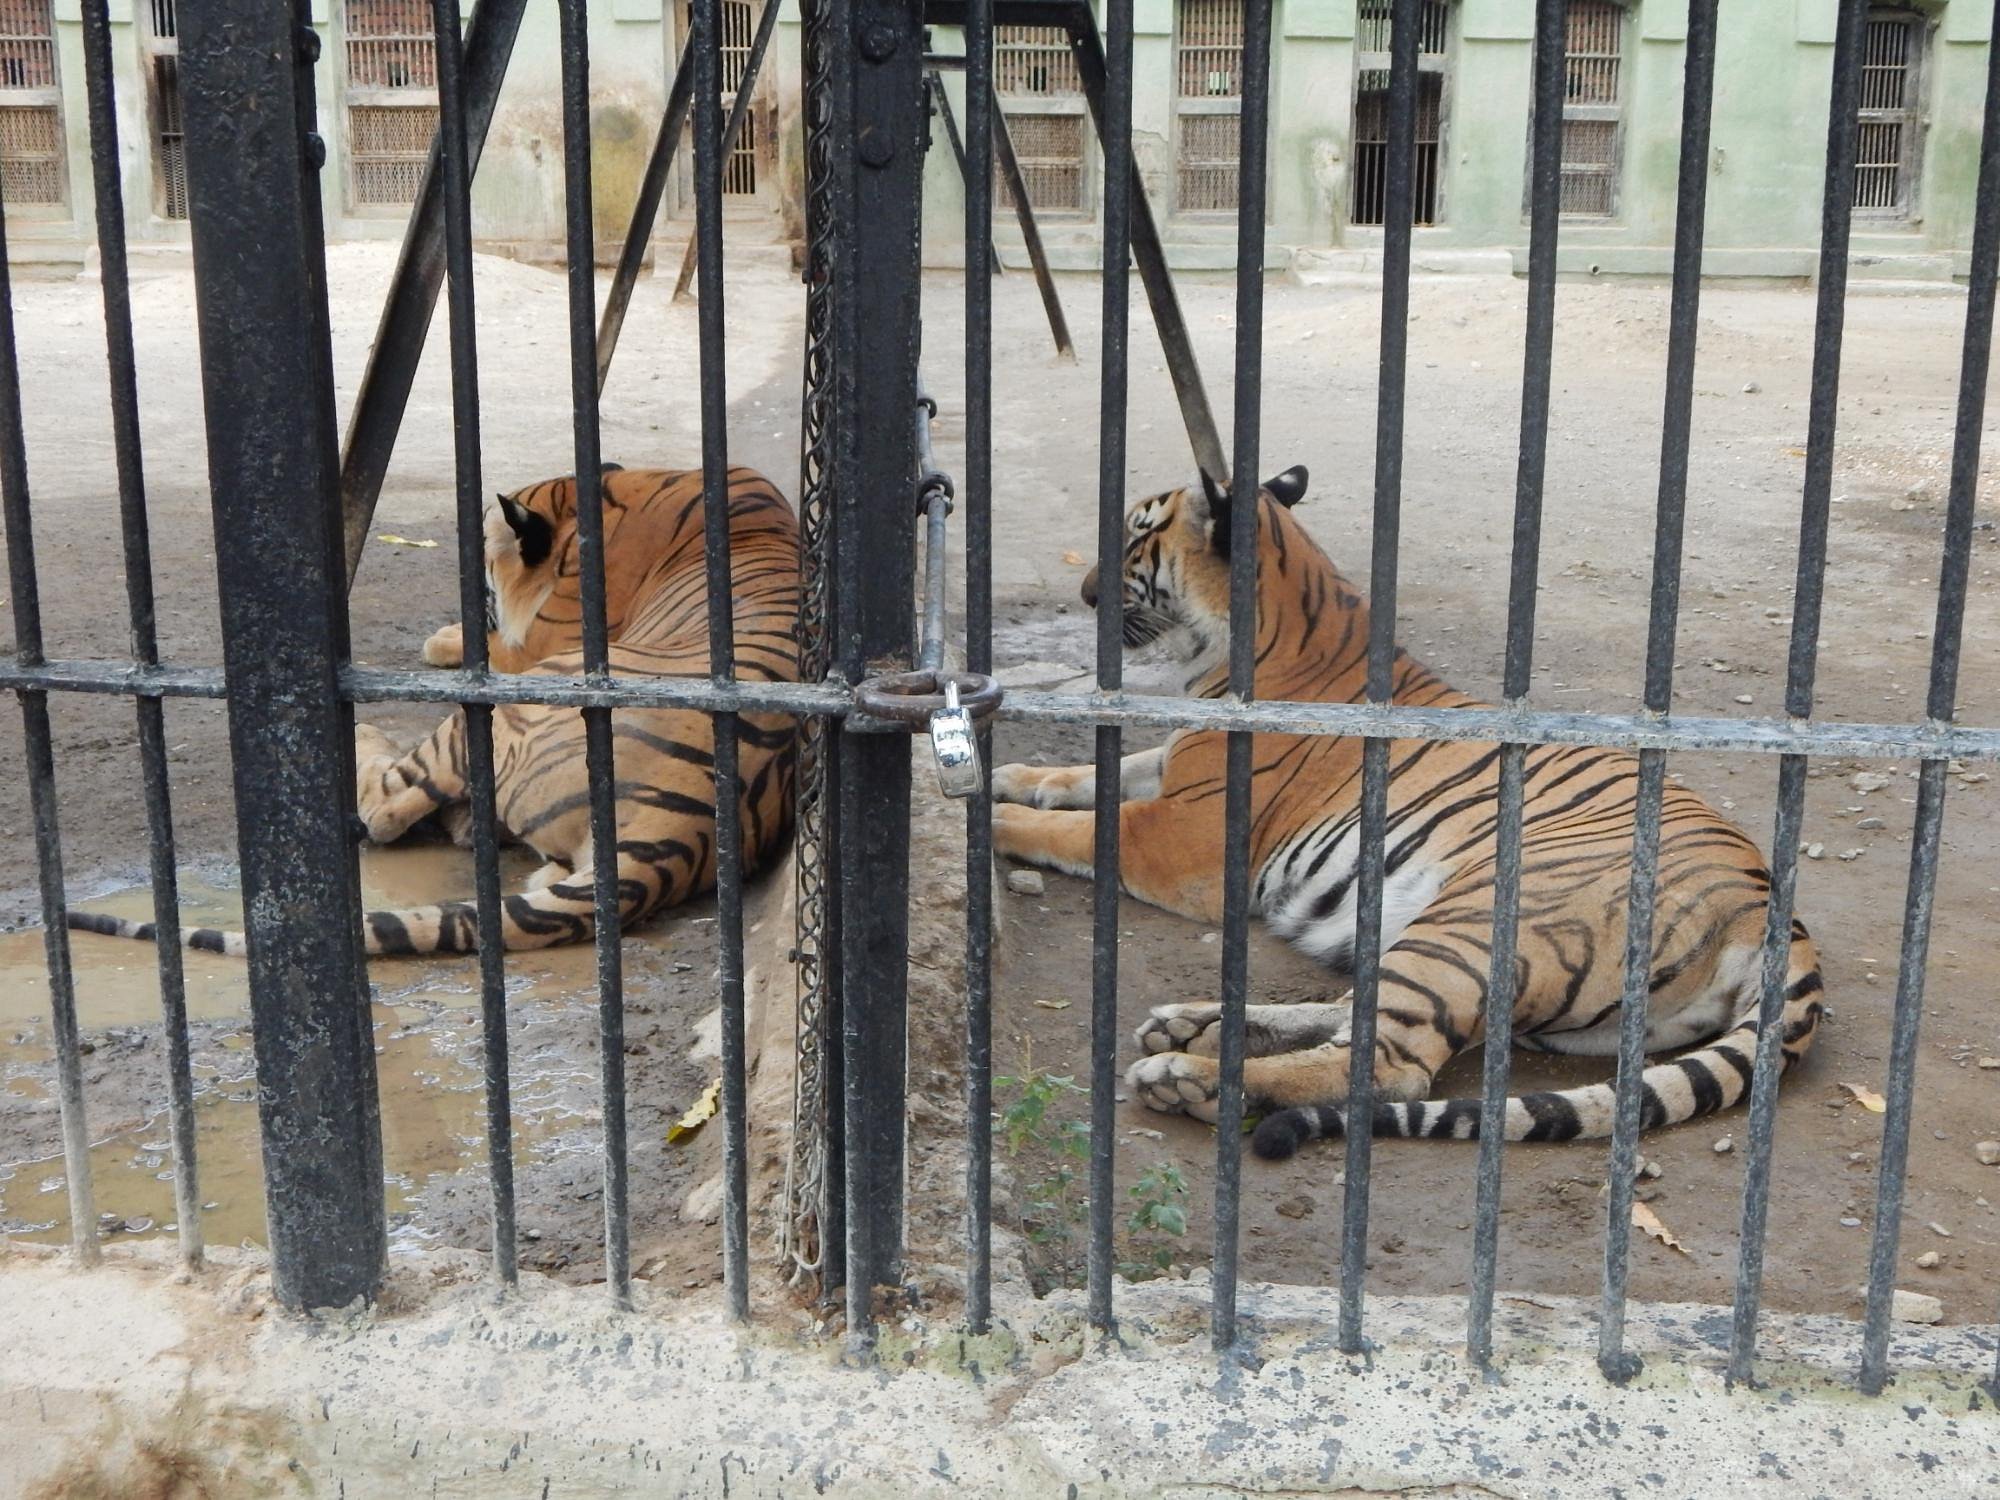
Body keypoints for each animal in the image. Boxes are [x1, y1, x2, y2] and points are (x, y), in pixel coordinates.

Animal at [69, 465, 800, 957]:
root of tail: (684, 828)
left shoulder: (538, 646)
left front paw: (442, 640)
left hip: (514, 705)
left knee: (386, 810)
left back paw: (365, 732)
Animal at [990, 466, 1825, 1155]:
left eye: (1137, 533)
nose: (1084, 592)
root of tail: (1769, 910)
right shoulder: (1171, 772)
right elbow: (1087, 774)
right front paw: (1006, 772)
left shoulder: (1185, 837)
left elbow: (1078, 824)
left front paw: (990, 815)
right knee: (1352, 1014)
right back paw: (1194, 1023)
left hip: (1475, 924)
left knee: (1387, 1066)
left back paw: (1184, 1074)